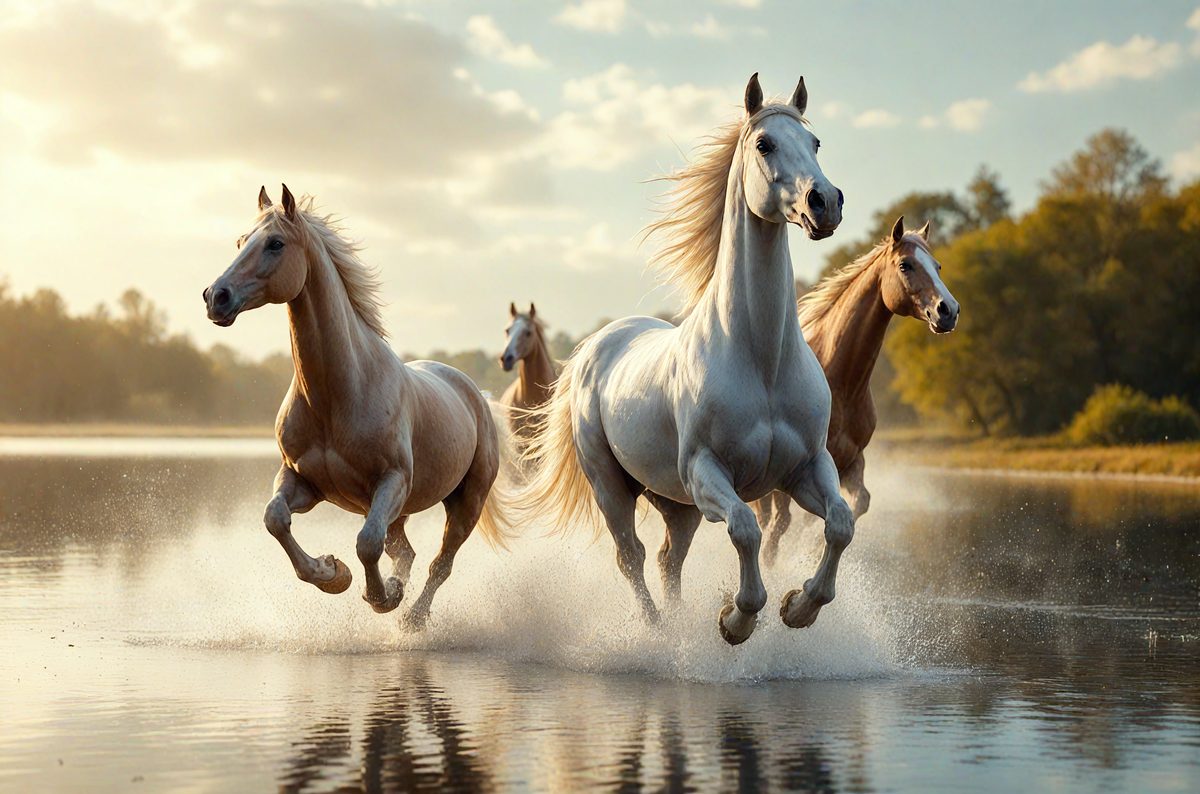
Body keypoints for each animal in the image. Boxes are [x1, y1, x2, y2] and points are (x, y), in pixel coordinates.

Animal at [202, 185, 511, 627]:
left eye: (275, 243)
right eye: (241, 241)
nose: (216, 297)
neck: (338, 394)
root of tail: (476, 396)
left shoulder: (391, 482)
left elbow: (367, 543)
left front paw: (381, 597)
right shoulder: (303, 481)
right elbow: (275, 519)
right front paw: (333, 574)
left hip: (465, 502)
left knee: (440, 564)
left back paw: (412, 618)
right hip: (402, 511)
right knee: (405, 551)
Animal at [518, 74, 848, 646]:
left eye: (816, 143)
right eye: (765, 144)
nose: (824, 202)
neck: (762, 360)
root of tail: (596, 348)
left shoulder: (807, 466)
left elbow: (841, 524)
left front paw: (799, 606)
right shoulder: (706, 473)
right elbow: (745, 530)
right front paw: (736, 619)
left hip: (676, 503)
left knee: (669, 558)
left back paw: (675, 626)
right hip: (614, 488)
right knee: (632, 557)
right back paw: (656, 632)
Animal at [752, 217, 960, 565]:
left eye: (938, 266)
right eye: (905, 265)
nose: (949, 310)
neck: (841, 384)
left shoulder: (852, 462)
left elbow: (857, 503)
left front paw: (810, 553)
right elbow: (779, 527)